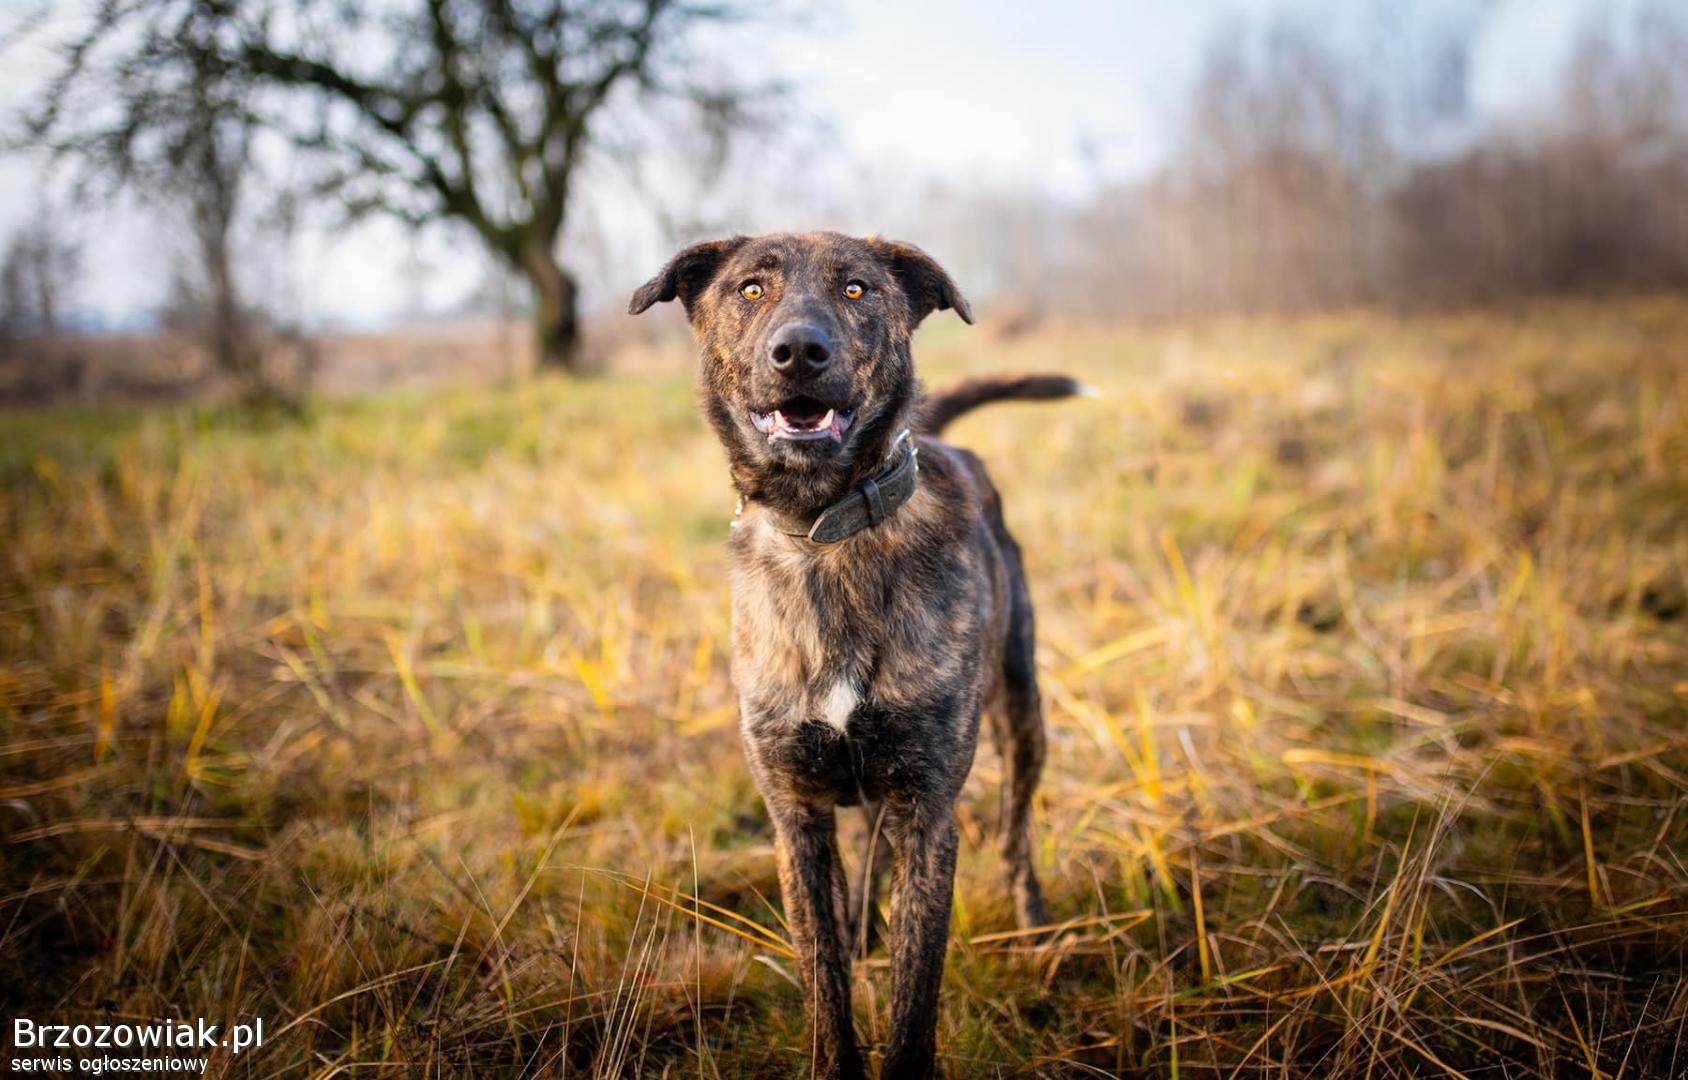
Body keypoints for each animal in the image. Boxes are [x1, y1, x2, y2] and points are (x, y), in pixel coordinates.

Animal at [630, 232, 1082, 1079]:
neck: (826, 536)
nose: (799, 351)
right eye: (749, 289)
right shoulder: (796, 819)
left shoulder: (927, 812)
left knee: (1013, 833)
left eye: (856, 289)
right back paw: (862, 926)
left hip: (1021, 711)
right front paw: (841, 977)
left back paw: (1035, 929)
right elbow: (824, 984)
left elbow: (915, 995)